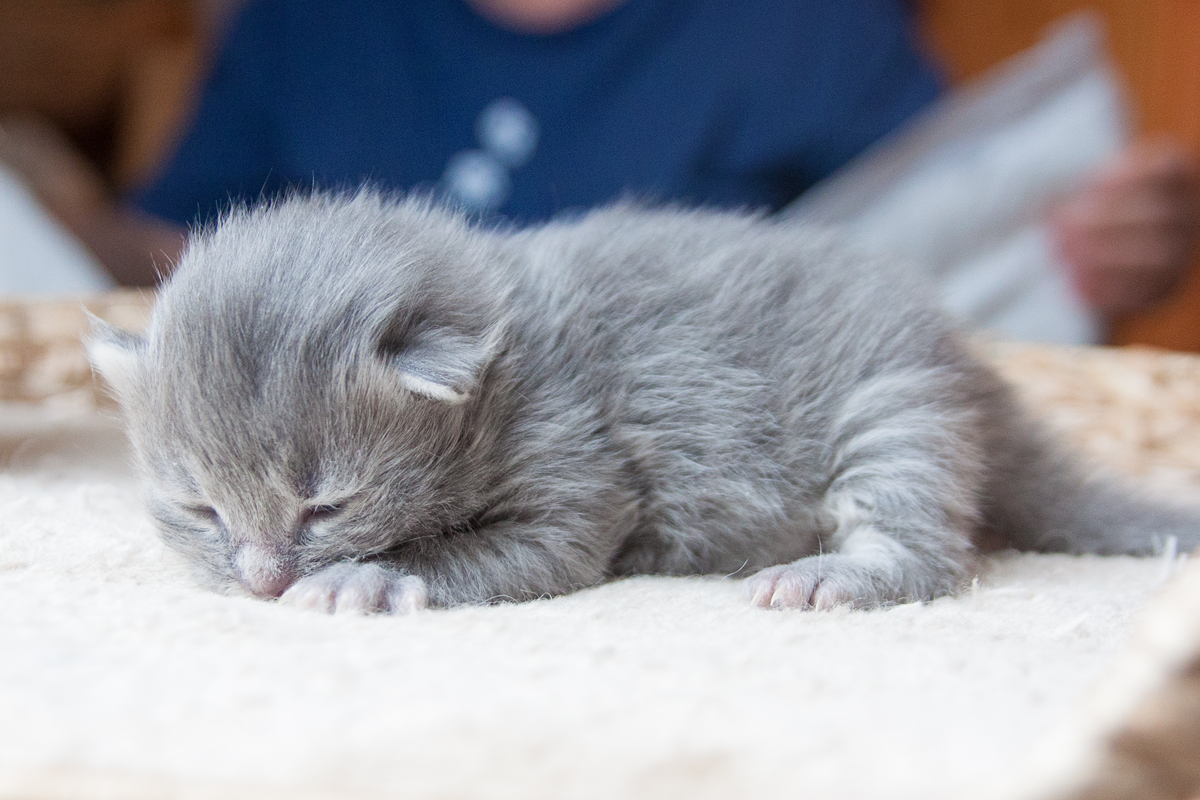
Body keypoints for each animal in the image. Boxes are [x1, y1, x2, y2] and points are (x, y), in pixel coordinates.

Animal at [88, 191, 1200, 614]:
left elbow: (479, 551)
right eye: (199, 507)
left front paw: (366, 577)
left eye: (327, 504)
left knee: (923, 548)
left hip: (894, 407)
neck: (509, 359)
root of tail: (968, 363)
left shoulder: (581, 483)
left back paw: (828, 575)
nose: (263, 581)